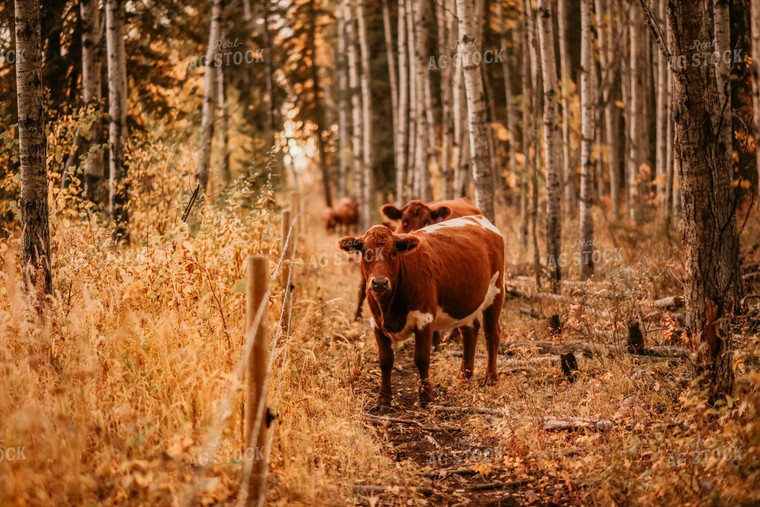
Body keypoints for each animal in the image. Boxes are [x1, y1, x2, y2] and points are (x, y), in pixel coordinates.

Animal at [338, 216, 504, 406]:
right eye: (365, 253)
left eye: (394, 253)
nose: (379, 283)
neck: (389, 308)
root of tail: (478, 218)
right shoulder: (376, 322)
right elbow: (385, 360)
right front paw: (384, 398)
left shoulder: (424, 318)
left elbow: (422, 358)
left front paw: (425, 396)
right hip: (466, 302)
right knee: (470, 331)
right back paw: (464, 376)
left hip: (496, 291)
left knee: (492, 334)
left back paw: (490, 378)